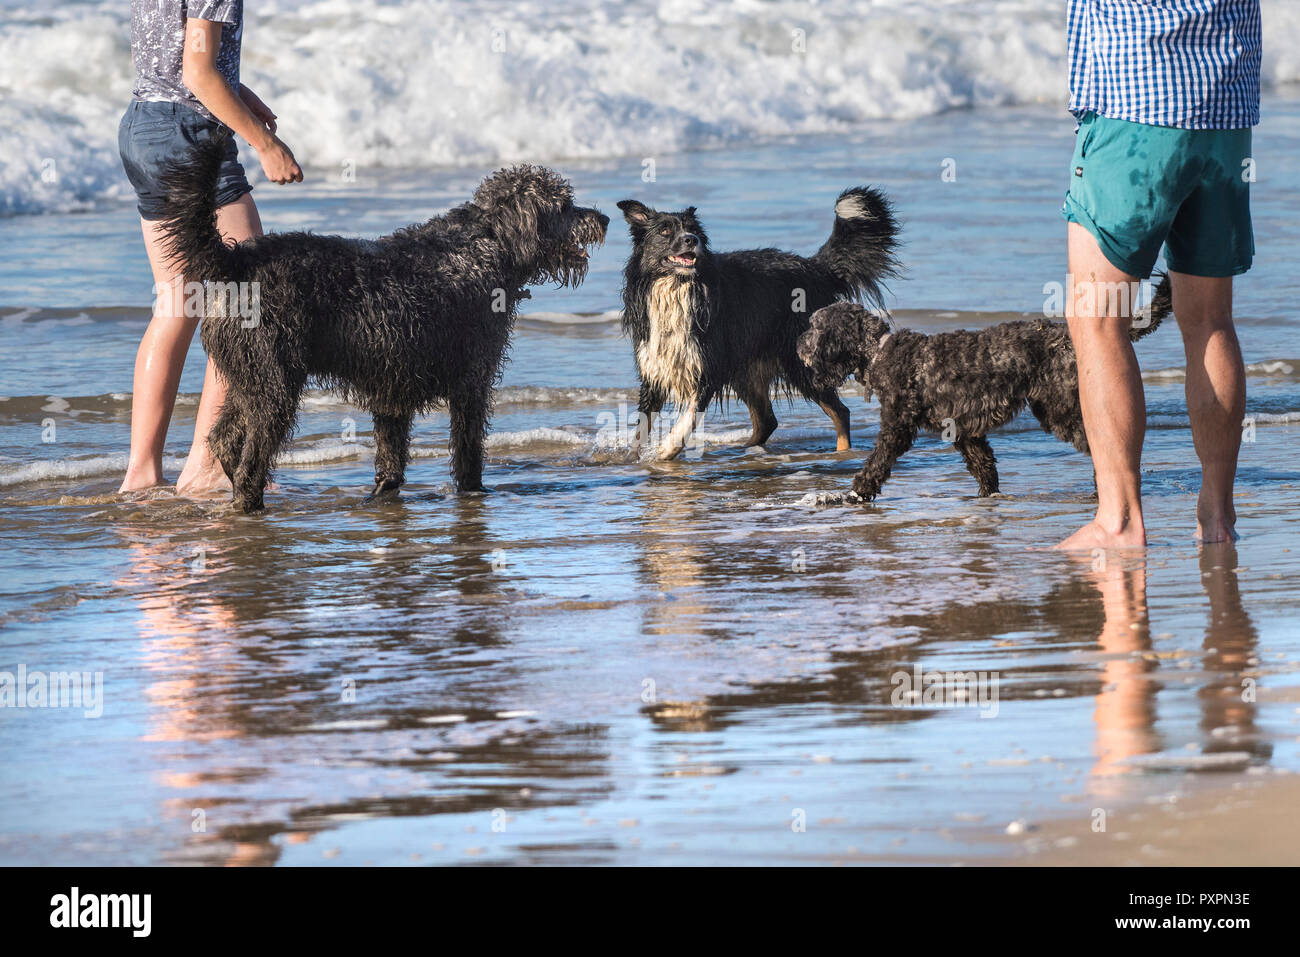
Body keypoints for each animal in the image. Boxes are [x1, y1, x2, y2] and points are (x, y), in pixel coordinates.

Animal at [158, 133, 608, 512]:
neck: (486, 241)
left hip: (251, 378)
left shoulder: (392, 386)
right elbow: (468, 451)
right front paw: (473, 491)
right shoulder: (471, 382)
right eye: (564, 204)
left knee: (223, 441)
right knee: (250, 461)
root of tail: (237, 261)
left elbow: (391, 458)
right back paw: (250, 504)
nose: (602, 219)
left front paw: (383, 496)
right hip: (274, 388)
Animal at [613, 187, 899, 460]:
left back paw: (842, 454)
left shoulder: (707, 369)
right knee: (767, 421)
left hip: (798, 362)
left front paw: (666, 450)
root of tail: (816, 268)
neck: (676, 288)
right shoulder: (654, 370)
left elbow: (688, 418)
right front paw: (632, 460)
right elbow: (640, 429)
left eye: (692, 230)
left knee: (840, 411)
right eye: (664, 231)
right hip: (747, 368)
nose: (691, 240)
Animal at [795, 274, 1175, 504]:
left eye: (813, 326)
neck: (880, 351)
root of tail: (1068, 338)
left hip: (1060, 410)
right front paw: (988, 495)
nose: (797, 342)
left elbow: (878, 459)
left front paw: (858, 490)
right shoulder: (964, 431)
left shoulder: (897, 427)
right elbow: (983, 463)